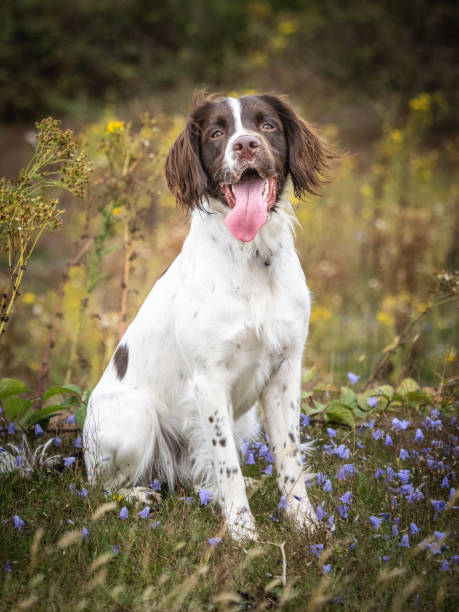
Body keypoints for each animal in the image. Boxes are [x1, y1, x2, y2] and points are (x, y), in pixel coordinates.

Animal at [83, 92, 330, 540]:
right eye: (216, 133)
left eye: (267, 125)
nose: (245, 144)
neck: (252, 257)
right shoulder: (209, 381)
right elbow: (226, 464)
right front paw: (243, 530)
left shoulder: (285, 370)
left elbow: (289, 454)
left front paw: (304, 522)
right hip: (137, 419)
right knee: (102, 486)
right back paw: (137, 495)